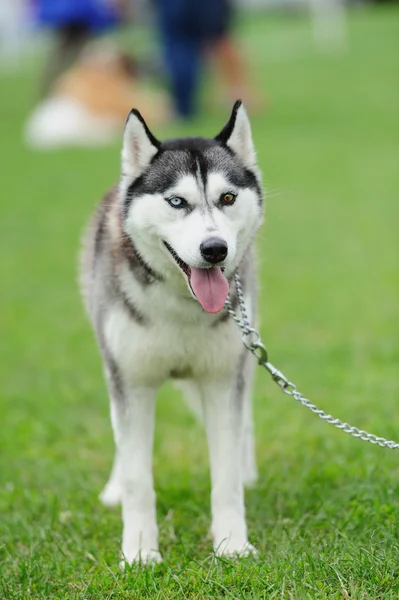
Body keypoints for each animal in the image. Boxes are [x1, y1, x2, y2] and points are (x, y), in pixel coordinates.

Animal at [79, 101, 264, 564]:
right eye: (177, 201)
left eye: (227, 198)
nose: (214, 249)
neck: (183, 306)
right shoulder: (131, 382)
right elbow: (137, 478)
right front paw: (140, 553)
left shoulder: (221, 380)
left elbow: (225, 474)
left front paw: (232, 544)